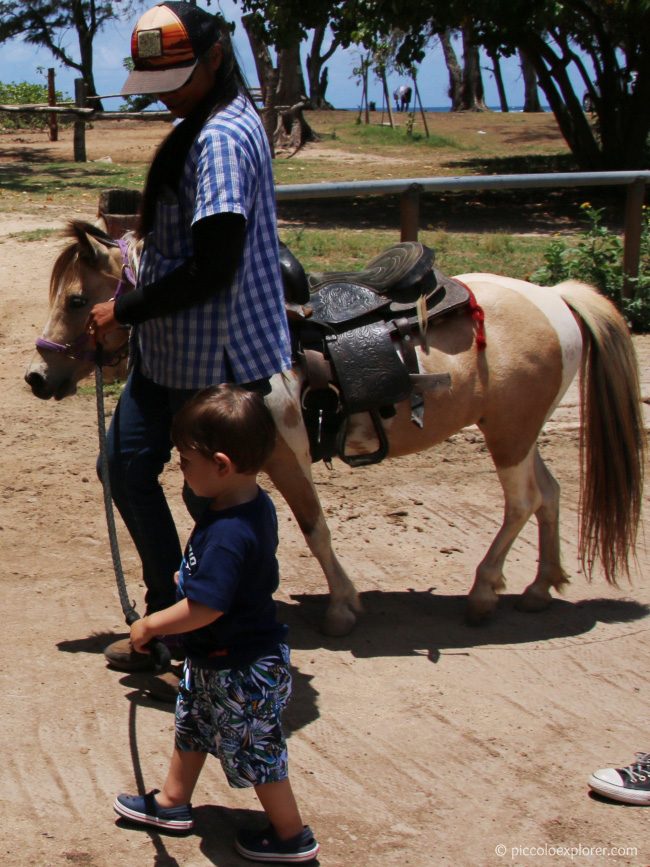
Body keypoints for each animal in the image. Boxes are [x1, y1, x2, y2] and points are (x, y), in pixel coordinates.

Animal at [24, 220, 644, 636]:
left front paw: (343, 607)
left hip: (509, 434)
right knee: (550, 494)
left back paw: (483, 593)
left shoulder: (285, 453)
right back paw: (540, 587)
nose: (36, 377)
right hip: (514, 429)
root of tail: (555, 296)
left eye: (77, 299)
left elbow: (313, 528)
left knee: (522, 502)